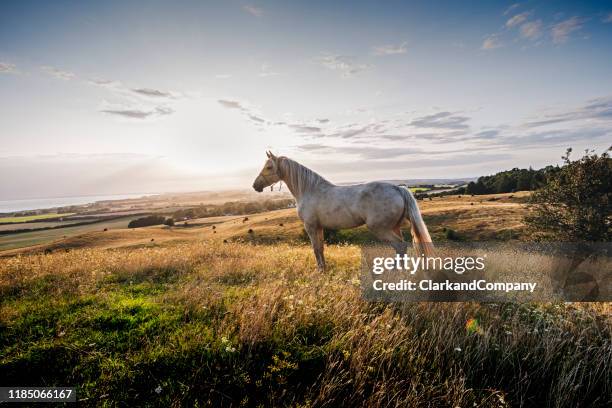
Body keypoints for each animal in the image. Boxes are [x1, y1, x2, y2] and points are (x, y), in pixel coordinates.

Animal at [251, 151, 432, 270]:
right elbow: (321, 248)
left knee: (400, 246)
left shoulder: (310, 226)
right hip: (394, 227)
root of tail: (397, 188)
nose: (255, 186)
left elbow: (315, 248)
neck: (309, 190)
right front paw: (324, 269)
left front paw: (320, 271)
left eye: (269, 167)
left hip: (381, 228)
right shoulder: (319, 227)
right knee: (401, 247)